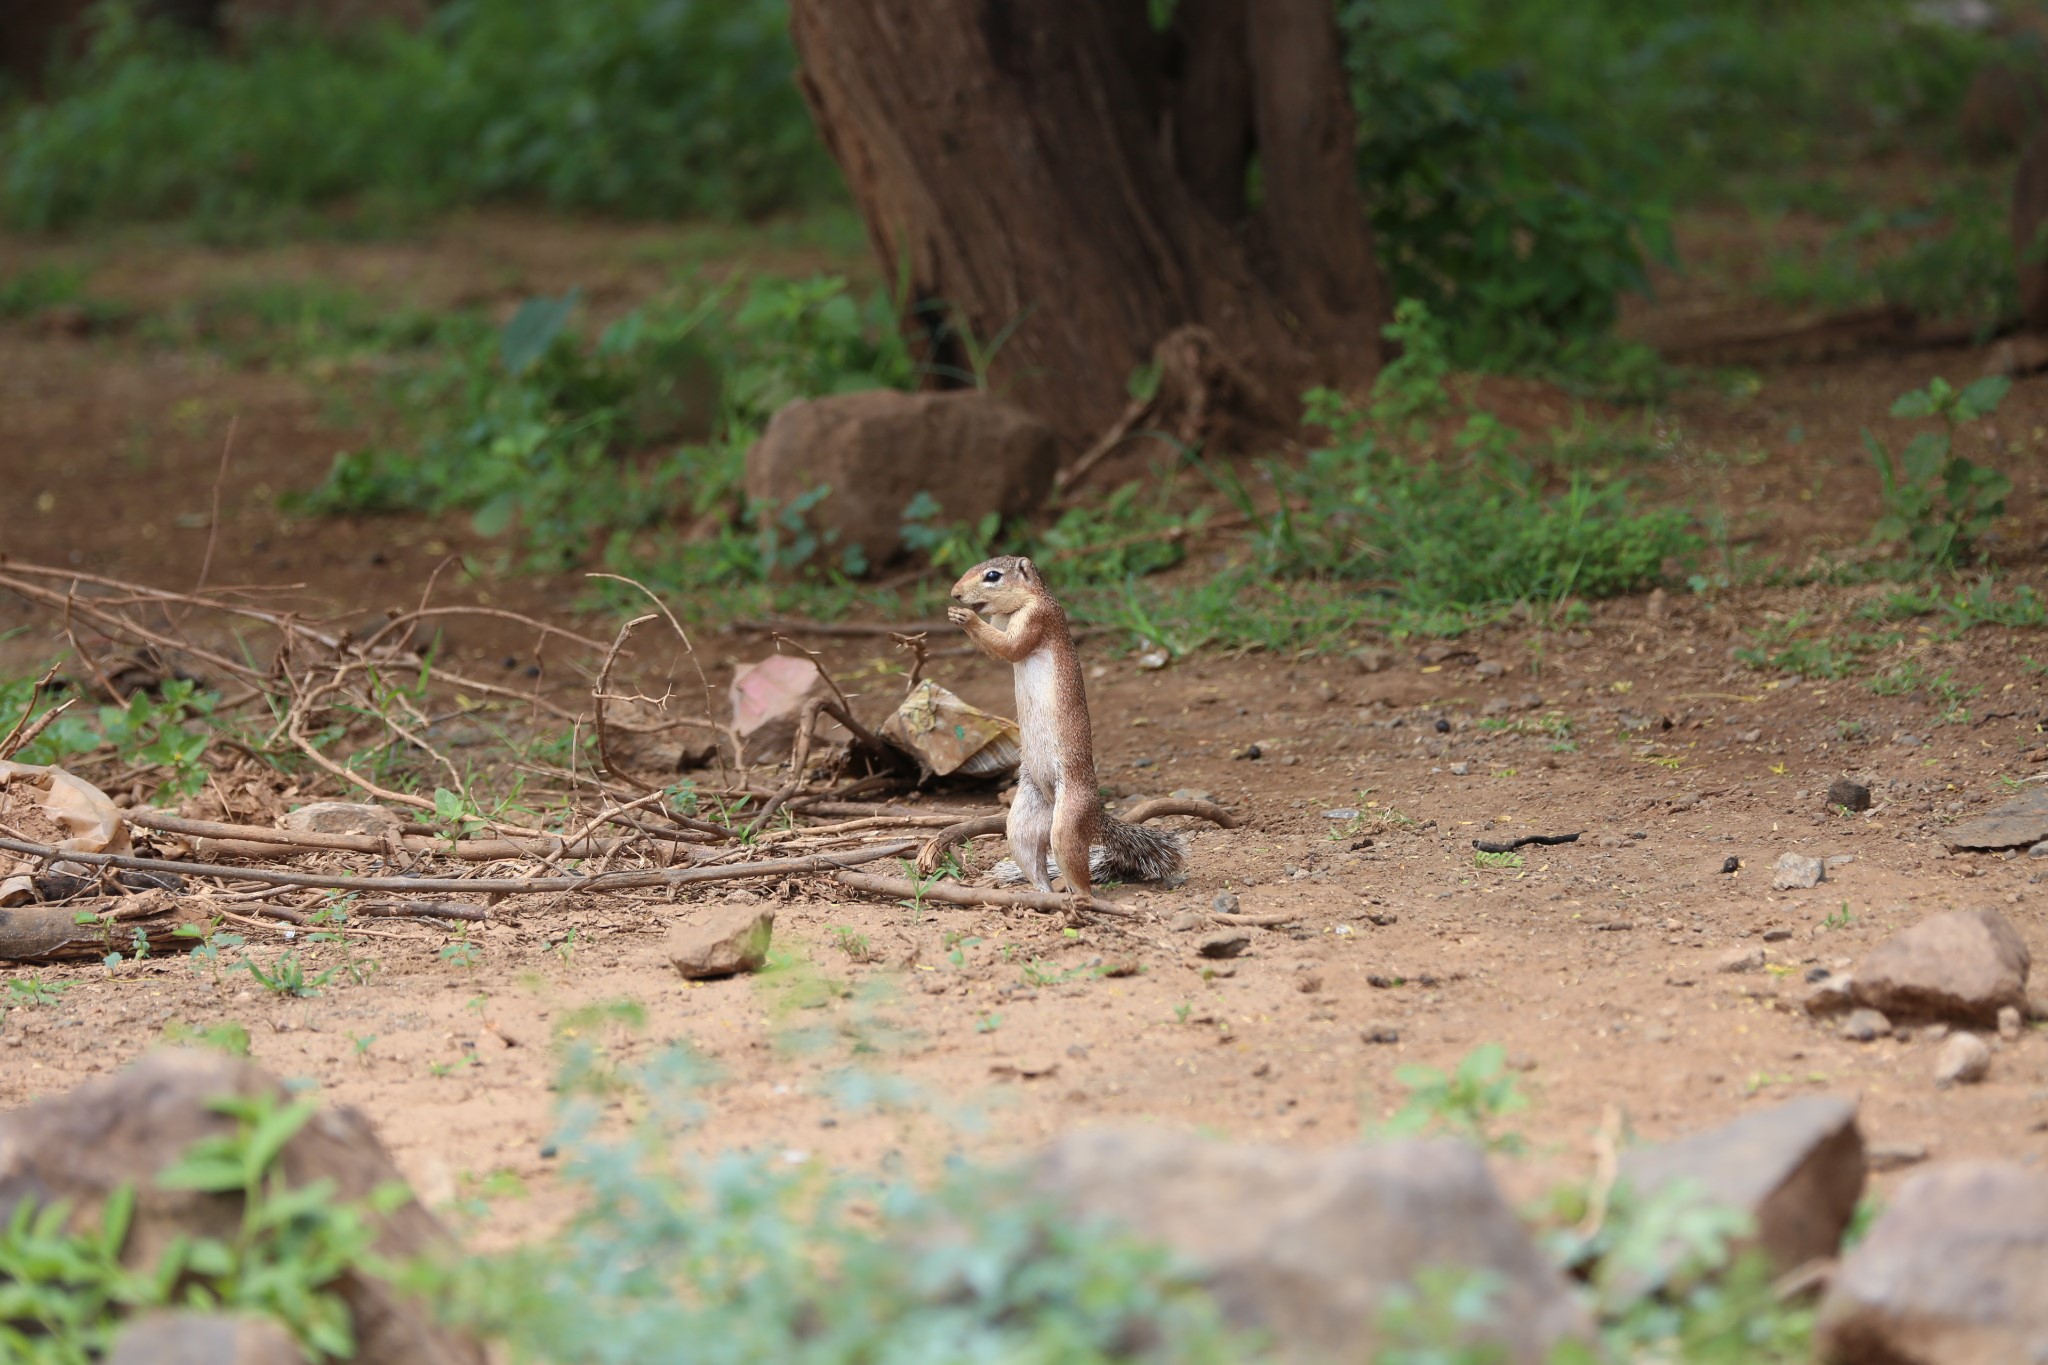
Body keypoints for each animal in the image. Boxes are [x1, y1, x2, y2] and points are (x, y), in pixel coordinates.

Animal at [942, 556, 1187, 896]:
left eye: (992, 576)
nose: (955, 594)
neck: (1021, 604)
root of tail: (1094, 818)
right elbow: (997, 650)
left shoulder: (1037, 618)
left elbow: (1011, 647)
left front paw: (966, 618)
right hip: (1021, 824)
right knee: (1034, 860)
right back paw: (1042, 893)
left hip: (1068, 821)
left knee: (1076, 869)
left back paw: (1080, 898)